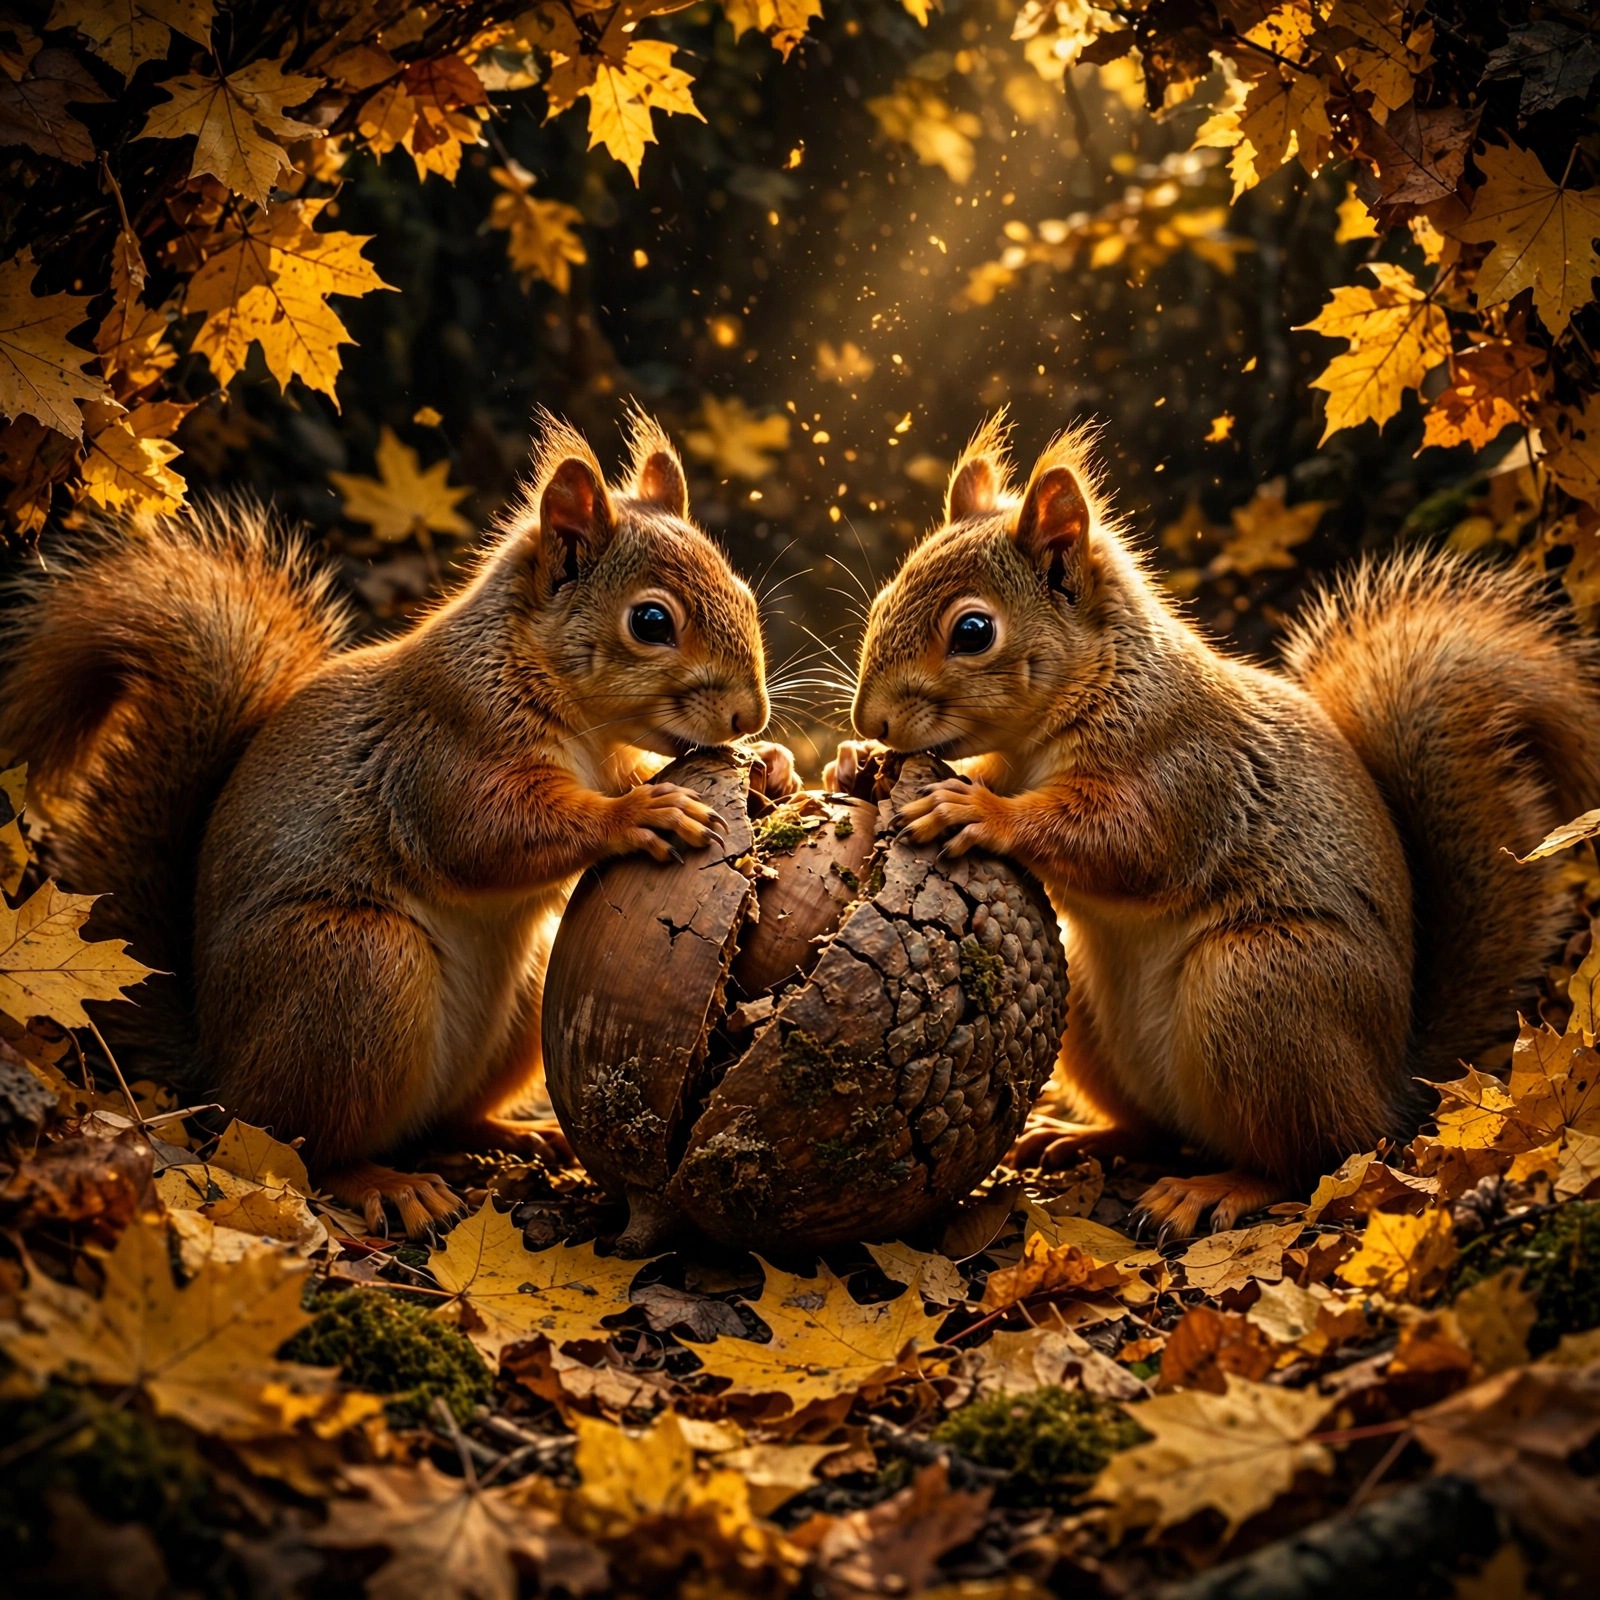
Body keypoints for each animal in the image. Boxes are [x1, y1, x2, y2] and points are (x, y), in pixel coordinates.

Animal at [0, 411, 795, 1236]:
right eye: (651, 621)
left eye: (742, 590)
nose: (751, 714)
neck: (569, 706)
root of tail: (213, 1070)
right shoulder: (442, 749)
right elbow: (489, 835)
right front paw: (642, 813)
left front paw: (772, 766)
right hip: (357, 966)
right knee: (305, 1147)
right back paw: (389, 1185)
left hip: (520, 994)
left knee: (444, 1121)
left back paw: (522, 1135)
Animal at [833, 416, 1600, 1239]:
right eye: (886, 596)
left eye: (974, 630)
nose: (870, 720)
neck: (1088, 694)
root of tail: (1395, 1081)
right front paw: (854, 765)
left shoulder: (1188, 776)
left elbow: (1122, 844)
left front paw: (977, 811)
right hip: (1093, 1011)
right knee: (1155, 1129)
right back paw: (1078, 1136)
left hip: (1261, 985)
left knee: (1315, 1160)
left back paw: (1214, 1190)